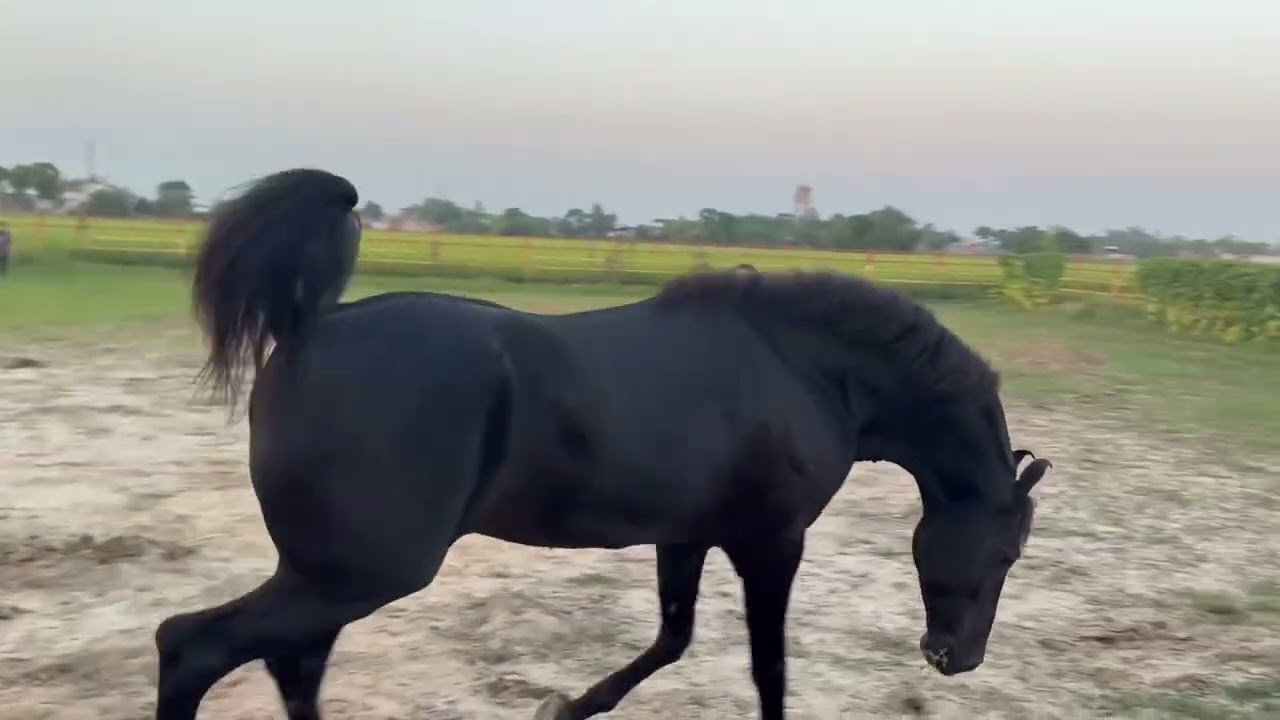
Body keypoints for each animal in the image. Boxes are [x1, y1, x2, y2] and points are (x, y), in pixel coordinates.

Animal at [154, 168, 1053, 720]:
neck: (806, 370)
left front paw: (560, 705)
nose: (956, 658)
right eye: (1009, 554)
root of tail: (308, 327)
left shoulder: (690, 534)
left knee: (290, 664)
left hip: (328, 576)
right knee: (193, 647)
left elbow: (671, 639)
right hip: (355, 573)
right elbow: (766, 669)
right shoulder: (772, 541)